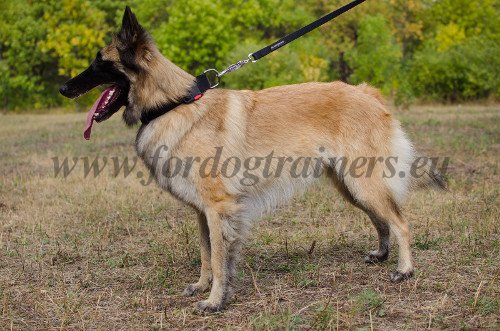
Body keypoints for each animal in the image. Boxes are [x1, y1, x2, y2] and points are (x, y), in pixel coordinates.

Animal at [59, 7, 446, 314]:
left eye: (100, 61)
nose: (63, 89)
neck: (172, 104)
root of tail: (367, 92)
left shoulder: (219, 208)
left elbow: (219, 258)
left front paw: (216, 301)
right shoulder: (203, 211)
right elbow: (207, 254)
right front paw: (203, 287)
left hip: (363, 183)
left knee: (401, 222)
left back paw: (404, 270)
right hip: (350, 185)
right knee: (382, 220)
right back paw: (381, 255)